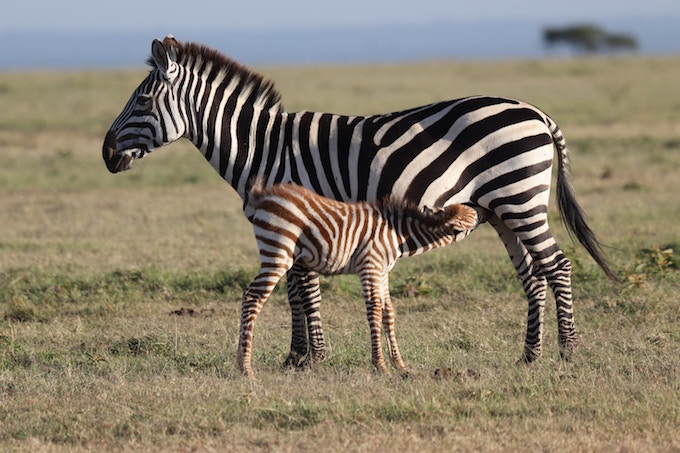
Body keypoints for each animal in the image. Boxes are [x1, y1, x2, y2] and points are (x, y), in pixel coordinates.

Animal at [239, 178, 478, 376]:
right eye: (473, 217)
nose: (479, 208)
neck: (398, 234)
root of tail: (264, 195)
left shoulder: (382, 272)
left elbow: (388, 312)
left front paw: (399, 364)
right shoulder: (370, 266)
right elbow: (375, 311)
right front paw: (380, 366)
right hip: (277, 253)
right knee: (252, 297)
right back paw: (245, 368)